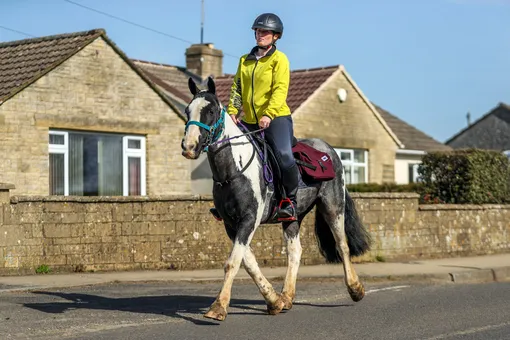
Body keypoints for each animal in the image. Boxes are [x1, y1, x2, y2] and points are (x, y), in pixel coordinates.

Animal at [182, 77, 370, 322]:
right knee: (295, 252)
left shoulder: (249, 219)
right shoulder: (231, 224)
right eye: (187, 111)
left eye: (211, 111)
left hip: (333, 206)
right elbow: (248, 262)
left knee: (342, 245)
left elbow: (233, 262)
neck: (234, 169)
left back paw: (355, 289)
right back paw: (287, 297)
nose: (189, 147)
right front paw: (274, 301)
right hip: (293, 217)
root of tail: (330, 150)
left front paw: (218, 307)